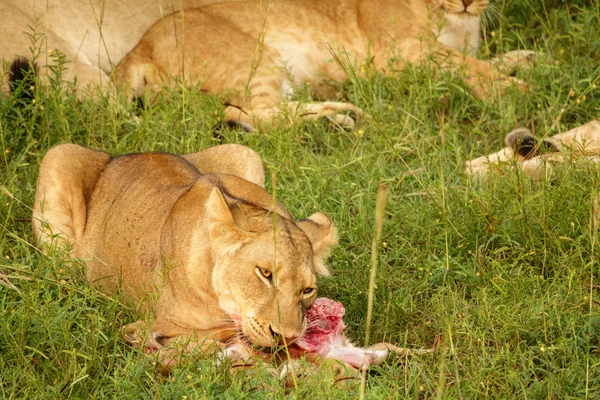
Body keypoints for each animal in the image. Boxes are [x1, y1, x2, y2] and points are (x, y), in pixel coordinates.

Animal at [32, 143, 428, 378]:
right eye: (265, 273)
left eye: (308, 290)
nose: (286, 338)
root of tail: (127, 153)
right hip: (59, 157)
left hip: (244, 151)